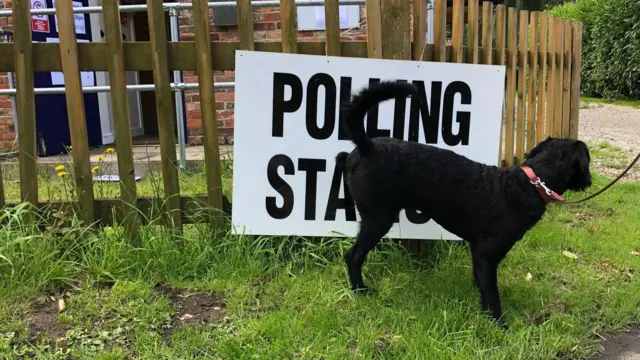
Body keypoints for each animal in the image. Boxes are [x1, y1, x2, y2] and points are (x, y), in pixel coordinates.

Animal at [338, 80, 592, 328]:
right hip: (378, 218)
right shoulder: (487, 254)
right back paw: (360, 290)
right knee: (353, 256)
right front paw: (499, 324)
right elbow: (492, 293)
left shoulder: (476, 252)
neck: (528, 184)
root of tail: (368, 147)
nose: (589, 182)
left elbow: (481, 285)